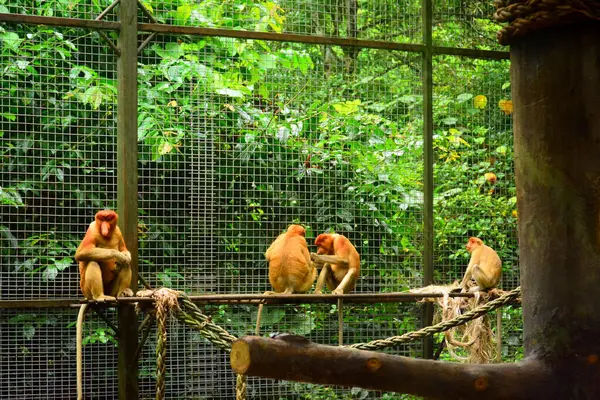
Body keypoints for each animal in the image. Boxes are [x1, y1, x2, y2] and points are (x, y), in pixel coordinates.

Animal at [74, 209, 132, 400]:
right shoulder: (92, 229)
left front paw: (124, 256)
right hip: (86, 289)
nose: (106, 228)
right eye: (101, 219)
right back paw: (100, 297)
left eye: (109, 218)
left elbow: (125, 250)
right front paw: (117, 255)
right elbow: (82, 253)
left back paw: (123, 293)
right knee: (92, 261)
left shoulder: (118, 230)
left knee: (126, 266)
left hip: (112, 289)